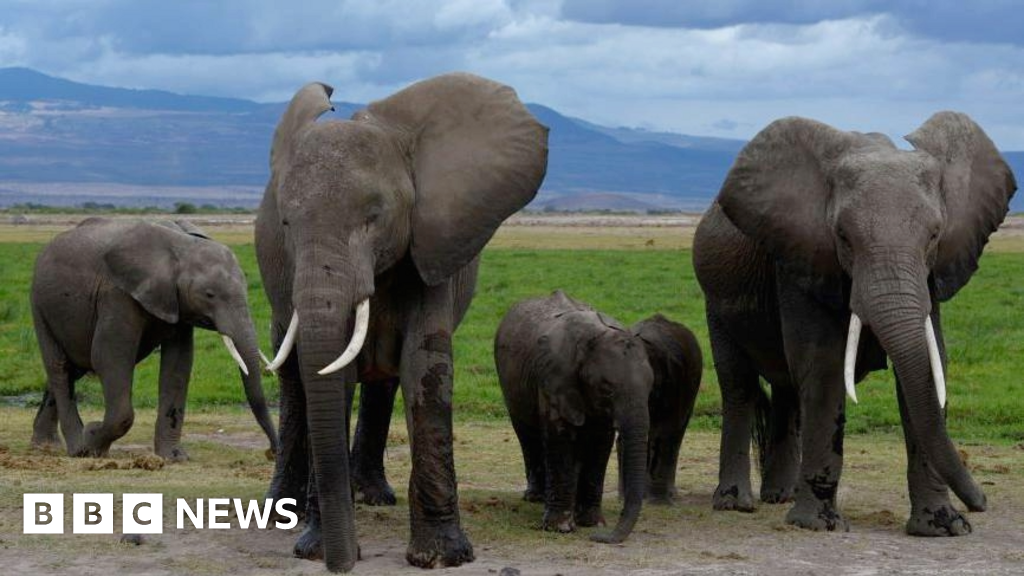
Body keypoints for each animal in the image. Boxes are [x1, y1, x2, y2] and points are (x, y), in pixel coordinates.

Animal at [30, 217, 278, 460]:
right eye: (209, 294)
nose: (272, 452)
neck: (181, 247)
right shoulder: (117, 294)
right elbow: (109, 357)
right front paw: (92, 441)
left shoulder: (176, 303)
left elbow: (178, 365)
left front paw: (174, 457)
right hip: (40, 306)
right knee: (60, 368)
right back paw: (77, 447)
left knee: (73, 368)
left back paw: (45, 445)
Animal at [256, 73, 547, 572]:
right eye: (287, 224)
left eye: (374, 217)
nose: (343, 563)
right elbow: (333, 375)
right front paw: (314, 549)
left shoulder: (431, 245)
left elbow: (424, 368)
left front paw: (443, 557)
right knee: (295, 382)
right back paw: (281, 515)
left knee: (383, 381)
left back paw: (371, 497)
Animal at [494, 291, 655, 543]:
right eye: (606, 389)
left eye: (651, 387)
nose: (600, 537)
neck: (593, 338)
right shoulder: (554, 379)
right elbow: (560, 439)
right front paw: (560, 528)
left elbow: (600, 443)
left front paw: (591, 523)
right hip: (509, 383)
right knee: (527, 435)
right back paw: (536, 498)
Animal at [692, 112, 1016, 535]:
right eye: (843, 237)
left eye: (934, 236)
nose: (981, 504)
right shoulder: (802, 258)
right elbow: (824, 367)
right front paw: (819, 526)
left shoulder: (929, 276)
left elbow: (928, 369)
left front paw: (943, 527)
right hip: (715, 300)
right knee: (739, 386)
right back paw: (736, 504)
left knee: (787, 390)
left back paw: (781, 496)